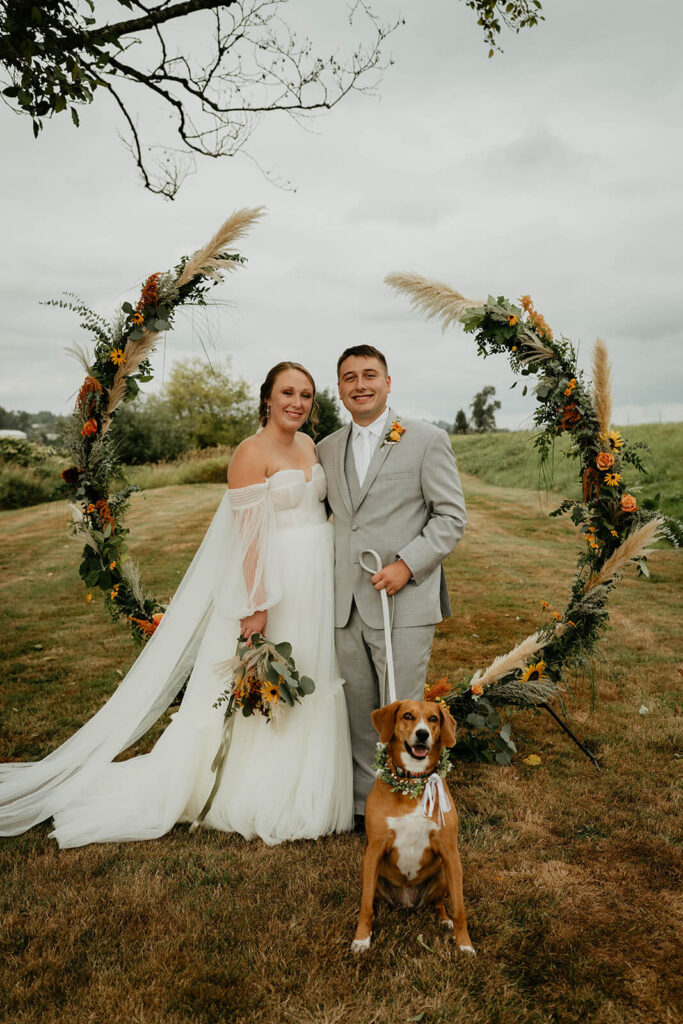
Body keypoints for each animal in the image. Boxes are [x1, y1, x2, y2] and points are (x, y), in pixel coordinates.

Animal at [350, 700, 473, 954]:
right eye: (408, 716)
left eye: (433, 718)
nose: (423, 734)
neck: (412, 781)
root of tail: (407, 902)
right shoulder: (374, 848)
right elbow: (366, 905)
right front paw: (362, 939)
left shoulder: (450, 851)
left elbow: (459, 907)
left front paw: (464, 943)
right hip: (370, 871)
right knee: (373, 901)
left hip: (444, 872)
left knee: (439, 902)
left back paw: (444, 920)